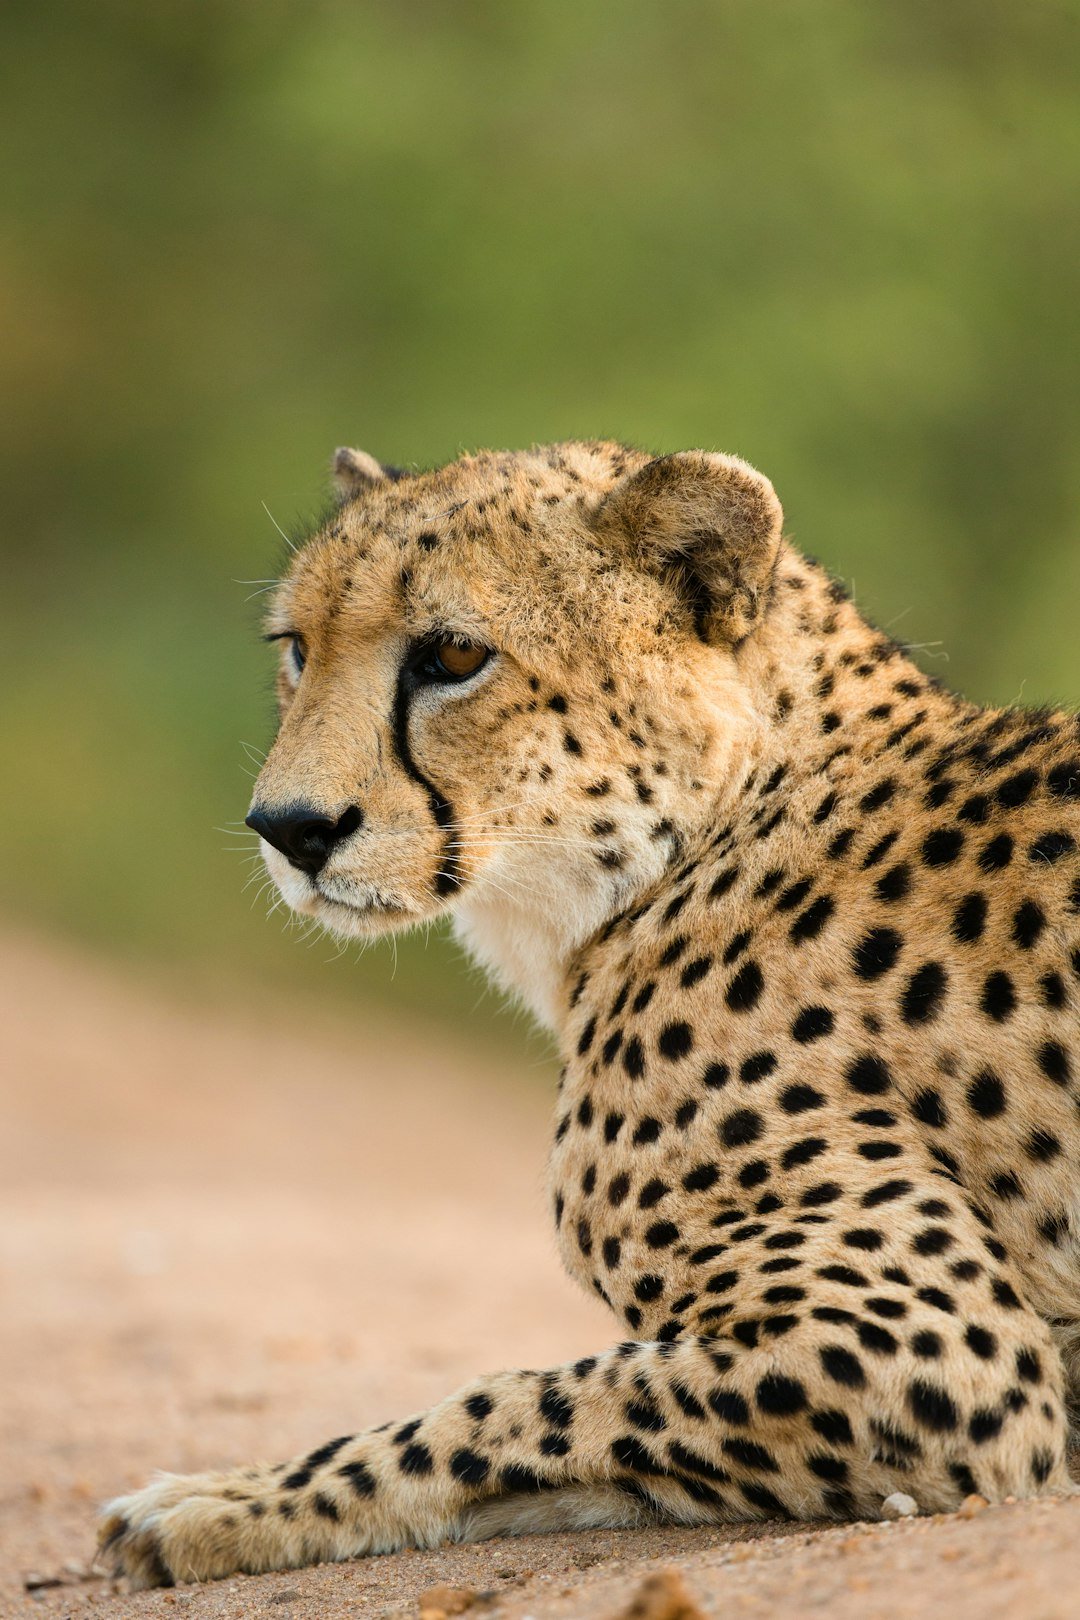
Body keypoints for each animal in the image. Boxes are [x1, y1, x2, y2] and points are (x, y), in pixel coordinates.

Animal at [99, 438, 1080, 1588]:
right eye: (298, 647)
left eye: (453, 654)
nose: (290, 827)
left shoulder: (934, 1353)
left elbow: (503, 1403)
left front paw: (223, 1501)